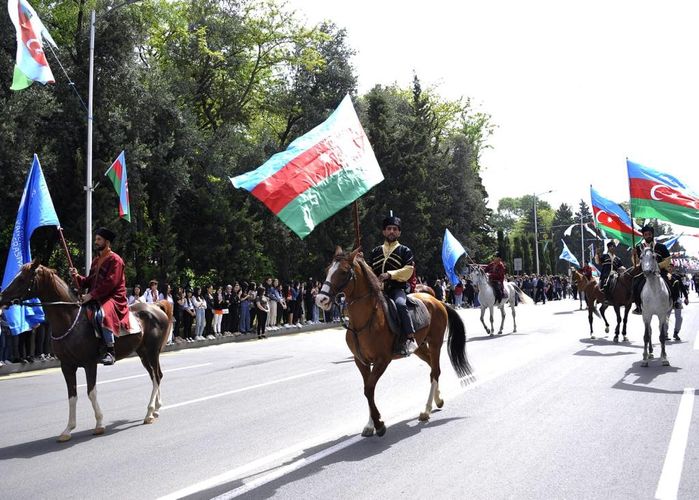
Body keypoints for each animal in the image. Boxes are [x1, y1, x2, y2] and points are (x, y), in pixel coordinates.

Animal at [0, 262, 174, 442]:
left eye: (22, 278)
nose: (2, 297)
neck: (70, 319)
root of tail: (155, 306)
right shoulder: (67, 366)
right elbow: (72, 396)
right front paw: (68, 429)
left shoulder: (90, 364)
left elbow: (91, 392)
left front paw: (99, 424)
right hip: (143, 353)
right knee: (155, 376)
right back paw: (156, 409)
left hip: (152, 352)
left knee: (156, 376)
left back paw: (149, 412)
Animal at [316, 249, 470, 438]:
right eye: (328, 270)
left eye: (344, 272)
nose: (321, 299)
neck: (365, 321)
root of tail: (437, 301)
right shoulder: (361, 361)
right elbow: (368, 390)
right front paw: (370, 425)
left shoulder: (382, 360)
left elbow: (369, 389)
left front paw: (379, 424)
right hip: (420, 348)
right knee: (432, 368)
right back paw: (438, 399)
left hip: (435, 343)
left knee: (435, 371)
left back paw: (426, 410)